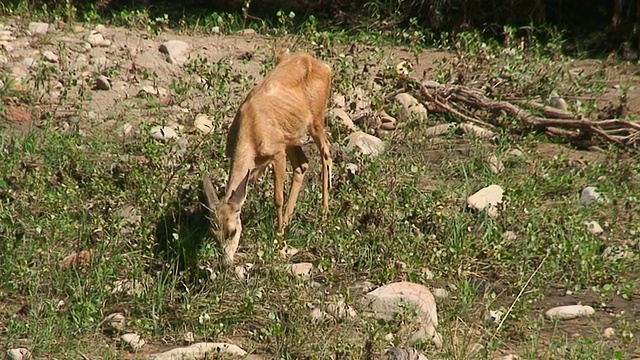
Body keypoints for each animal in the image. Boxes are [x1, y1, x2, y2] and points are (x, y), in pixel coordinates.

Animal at [204, 50, 336, 264]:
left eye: (232, 231)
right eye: (214, 234)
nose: (226, 263)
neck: (251, 132)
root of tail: (324, 66)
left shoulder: (277, 153)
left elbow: (277, 197)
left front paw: (278, 236)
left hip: (316, 120)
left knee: (326, 154)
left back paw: (323, 215)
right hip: (290, 135)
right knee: (303, 164)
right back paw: (290, 218)